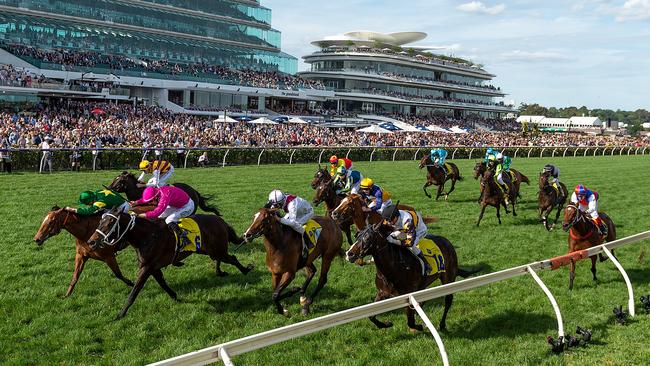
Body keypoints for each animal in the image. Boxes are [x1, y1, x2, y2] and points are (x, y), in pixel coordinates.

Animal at [88, 207, 253, 318]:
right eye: (100, 221)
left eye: (110, 222)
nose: (91, 242)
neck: (147, 236)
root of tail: (220, 221)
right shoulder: (153, 267)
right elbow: (162, 282)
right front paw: (174, 295)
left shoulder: (146, 267)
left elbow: (134, 291)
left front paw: (120, 314)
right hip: (209, 250)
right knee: (220, 259)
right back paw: (220, 272)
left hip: (217, 250)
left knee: (232, 258)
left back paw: (245, 270)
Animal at [344, 223, 476, 332]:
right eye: (357, 236)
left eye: (367, 238)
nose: (349, 254)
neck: (392, 269)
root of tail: (447, 241)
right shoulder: (382, 293)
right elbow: (371, 316)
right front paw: (386, 324)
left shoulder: (407, 296)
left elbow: (410, 322)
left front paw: (421, 326)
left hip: (448, 278)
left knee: (448, 301)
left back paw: (442, 324)